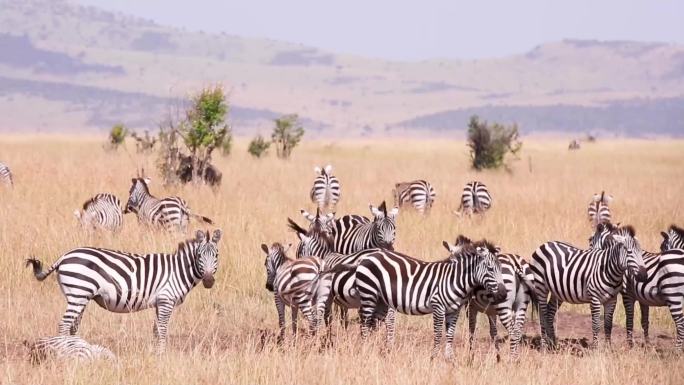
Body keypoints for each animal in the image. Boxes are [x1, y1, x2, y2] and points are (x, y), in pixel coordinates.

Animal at [26, 230, 222, 352]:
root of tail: (65, 256)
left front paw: (155, 354)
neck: (178, 270)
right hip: (78, 293)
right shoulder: (167, 300)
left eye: (216, 256)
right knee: (64, 324)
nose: (209, 280)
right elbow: (163, 329)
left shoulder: (160, 302)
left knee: (73, 325)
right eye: (199, 256)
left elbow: (156, 330)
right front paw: (162, 355)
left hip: (80, 296)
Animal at [352, 237, 508, 356]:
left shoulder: (454, 310)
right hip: (369, 294)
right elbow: (438, 334)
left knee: (373, 324)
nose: (503, 294)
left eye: (501, 268)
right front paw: (434, 358)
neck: (454, 279)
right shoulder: (438, 306)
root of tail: (369, 256)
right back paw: (365, 350)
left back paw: (375, 349)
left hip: (381, 300)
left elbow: (450, 334)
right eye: (490, 268)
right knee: (364, 324)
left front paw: (449, 359)